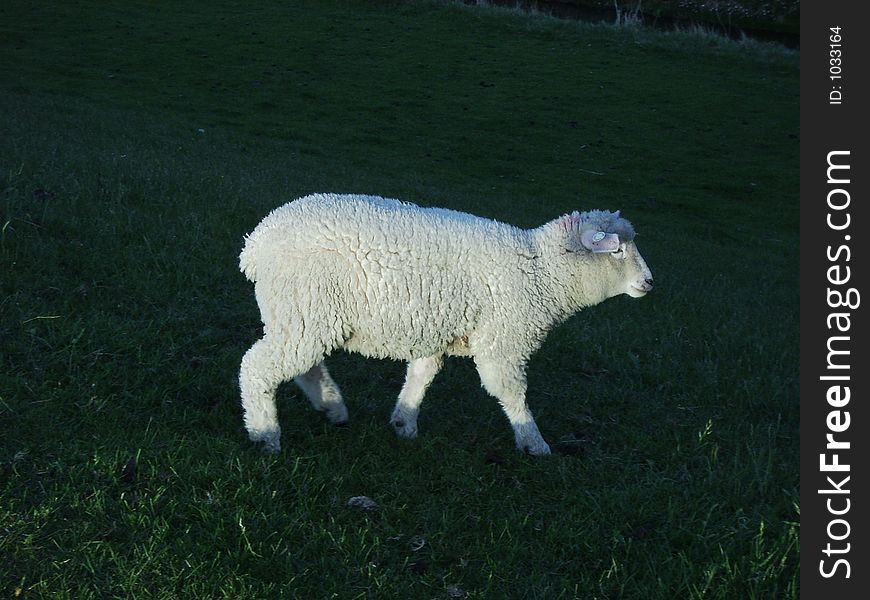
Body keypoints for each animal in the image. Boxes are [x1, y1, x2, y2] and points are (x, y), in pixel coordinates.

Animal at [238, 192, 656, 454]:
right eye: (616, 250)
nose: (650, 282)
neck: (541, 270)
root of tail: (255, 244)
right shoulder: (503, 341)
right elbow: (510, 392)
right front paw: (533, 442)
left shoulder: (436, 332)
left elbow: (422, 376)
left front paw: (404, 423)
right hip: (305, 311)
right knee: (257, 368)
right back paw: (265, 434)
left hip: (303, 316)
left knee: (301, 365)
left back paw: (332, 407)